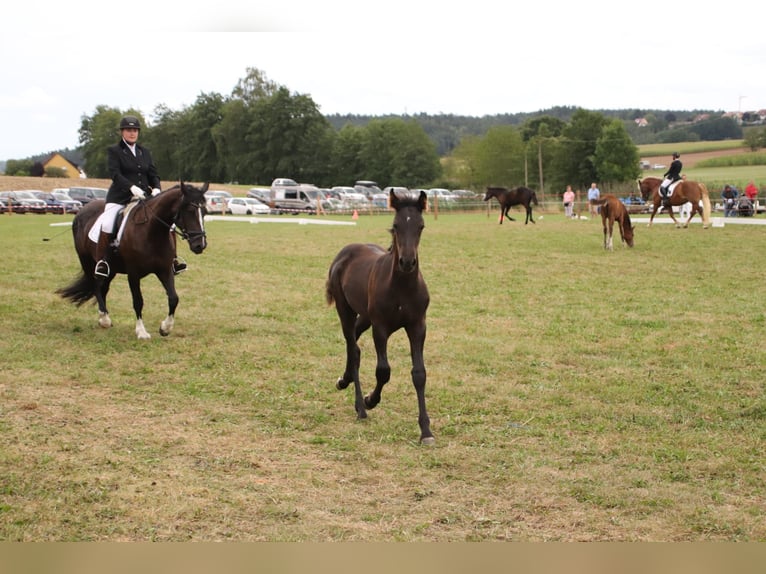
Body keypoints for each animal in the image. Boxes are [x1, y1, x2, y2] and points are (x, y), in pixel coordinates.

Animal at [57, 182, 210, 340]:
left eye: (204, 212)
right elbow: (138, 301)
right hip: (86, 261)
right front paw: (141, 331)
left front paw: (165, 328)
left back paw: (104, 318)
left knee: (103, 287)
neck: (152, 232)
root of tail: (82, 210)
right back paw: (104, 319)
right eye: (190, 210)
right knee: (95, 285)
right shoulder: (133, 274)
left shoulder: (165, 270)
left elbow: (174, 298)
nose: (200, 245)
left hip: (110, 269)